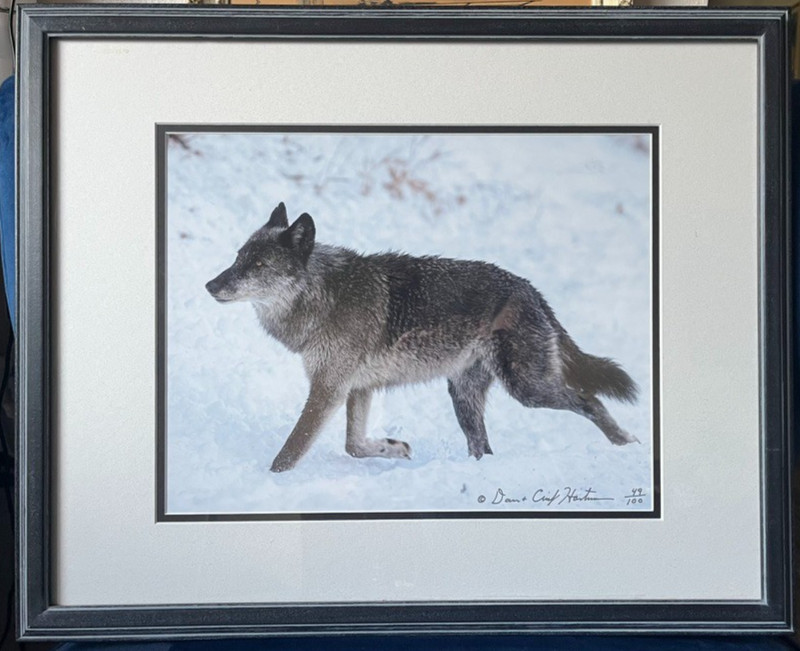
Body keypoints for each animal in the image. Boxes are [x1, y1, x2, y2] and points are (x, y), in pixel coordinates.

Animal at [206, 203, 639, 472]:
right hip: (464, 398)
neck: (324, 295)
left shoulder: (329, 387)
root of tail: (531, 290)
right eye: (238, 257)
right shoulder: (358, 387)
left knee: (589, 400)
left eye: (259, 265)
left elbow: (290, 451)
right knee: (483, 448)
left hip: (527, 389)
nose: (210, 285)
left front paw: (269, 481)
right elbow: (354, 446)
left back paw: (628, 445)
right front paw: (395, 448)